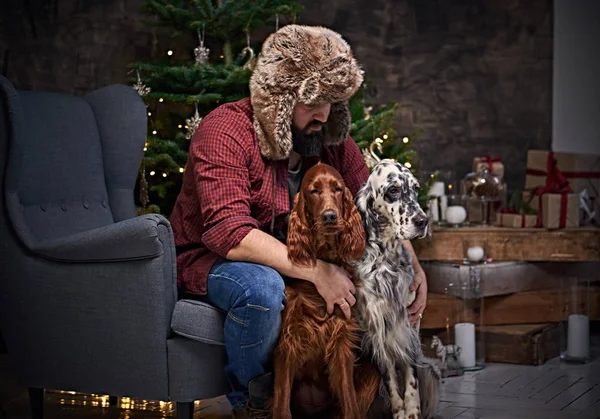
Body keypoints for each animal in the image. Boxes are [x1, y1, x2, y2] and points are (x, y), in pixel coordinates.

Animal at [352, 159, 440, 418]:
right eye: (393, 190)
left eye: (416, 188)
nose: (423, 221)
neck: (387, 260)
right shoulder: (376, 328)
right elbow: (390, 376)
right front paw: (399, 409)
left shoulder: (407, 323)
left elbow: (410, 377)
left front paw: (412, 409)